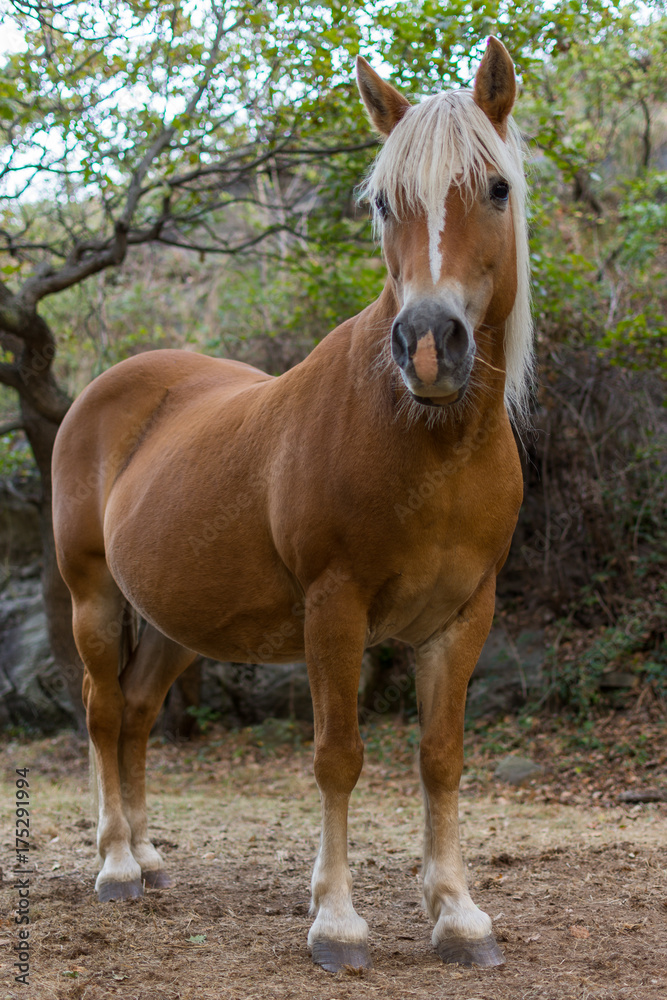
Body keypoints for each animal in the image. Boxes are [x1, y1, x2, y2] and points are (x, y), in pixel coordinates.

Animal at [52, 36, 532, 974]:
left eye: (494, 188)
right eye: (383, 201)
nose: (428, 345)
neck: (426, 442)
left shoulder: (463, 618)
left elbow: (441, 759)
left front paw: (458, 917)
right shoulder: (333, 609)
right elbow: (337, 758)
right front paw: (336, 924)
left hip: (172, 621)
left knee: (136, 713)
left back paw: (151, 859)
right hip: (94, 597)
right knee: (100, 710)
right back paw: (117, 865)